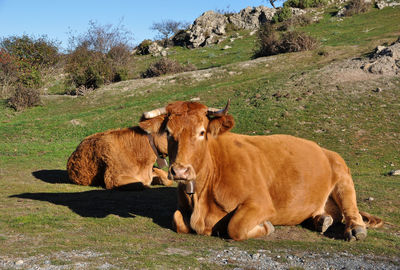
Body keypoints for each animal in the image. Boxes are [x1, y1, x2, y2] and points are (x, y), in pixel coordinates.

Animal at [142, 100, 382, 242]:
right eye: (168, 132)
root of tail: (322, 149)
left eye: (202, 132)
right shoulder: (183, 207)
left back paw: (355, 229)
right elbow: (178, 220)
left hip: (343, 176)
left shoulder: (261, 204)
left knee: (351, 210)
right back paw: (321, 220)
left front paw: (266, 227)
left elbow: (235, 227)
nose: (180, 171)